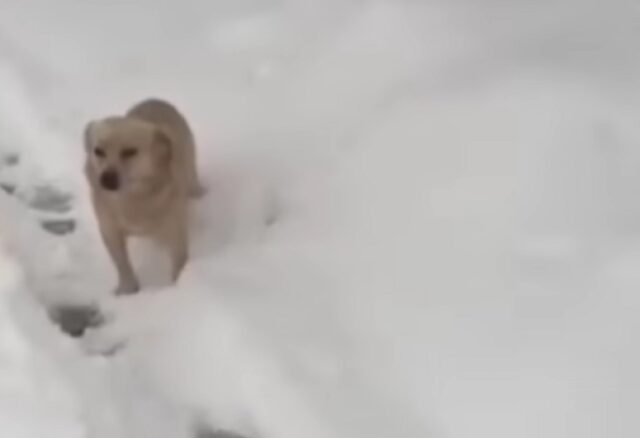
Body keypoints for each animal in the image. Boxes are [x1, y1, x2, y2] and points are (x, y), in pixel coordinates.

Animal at [84, 99, 201, 294]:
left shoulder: (175, 230)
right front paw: (127, 289)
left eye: (129, 152)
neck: (133, 198)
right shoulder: (109, 230)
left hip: (191, 170)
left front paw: (178, 287)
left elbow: (179, 260)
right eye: (98, 151)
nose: (106, 178)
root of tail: (155, 99)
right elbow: (122, 263)